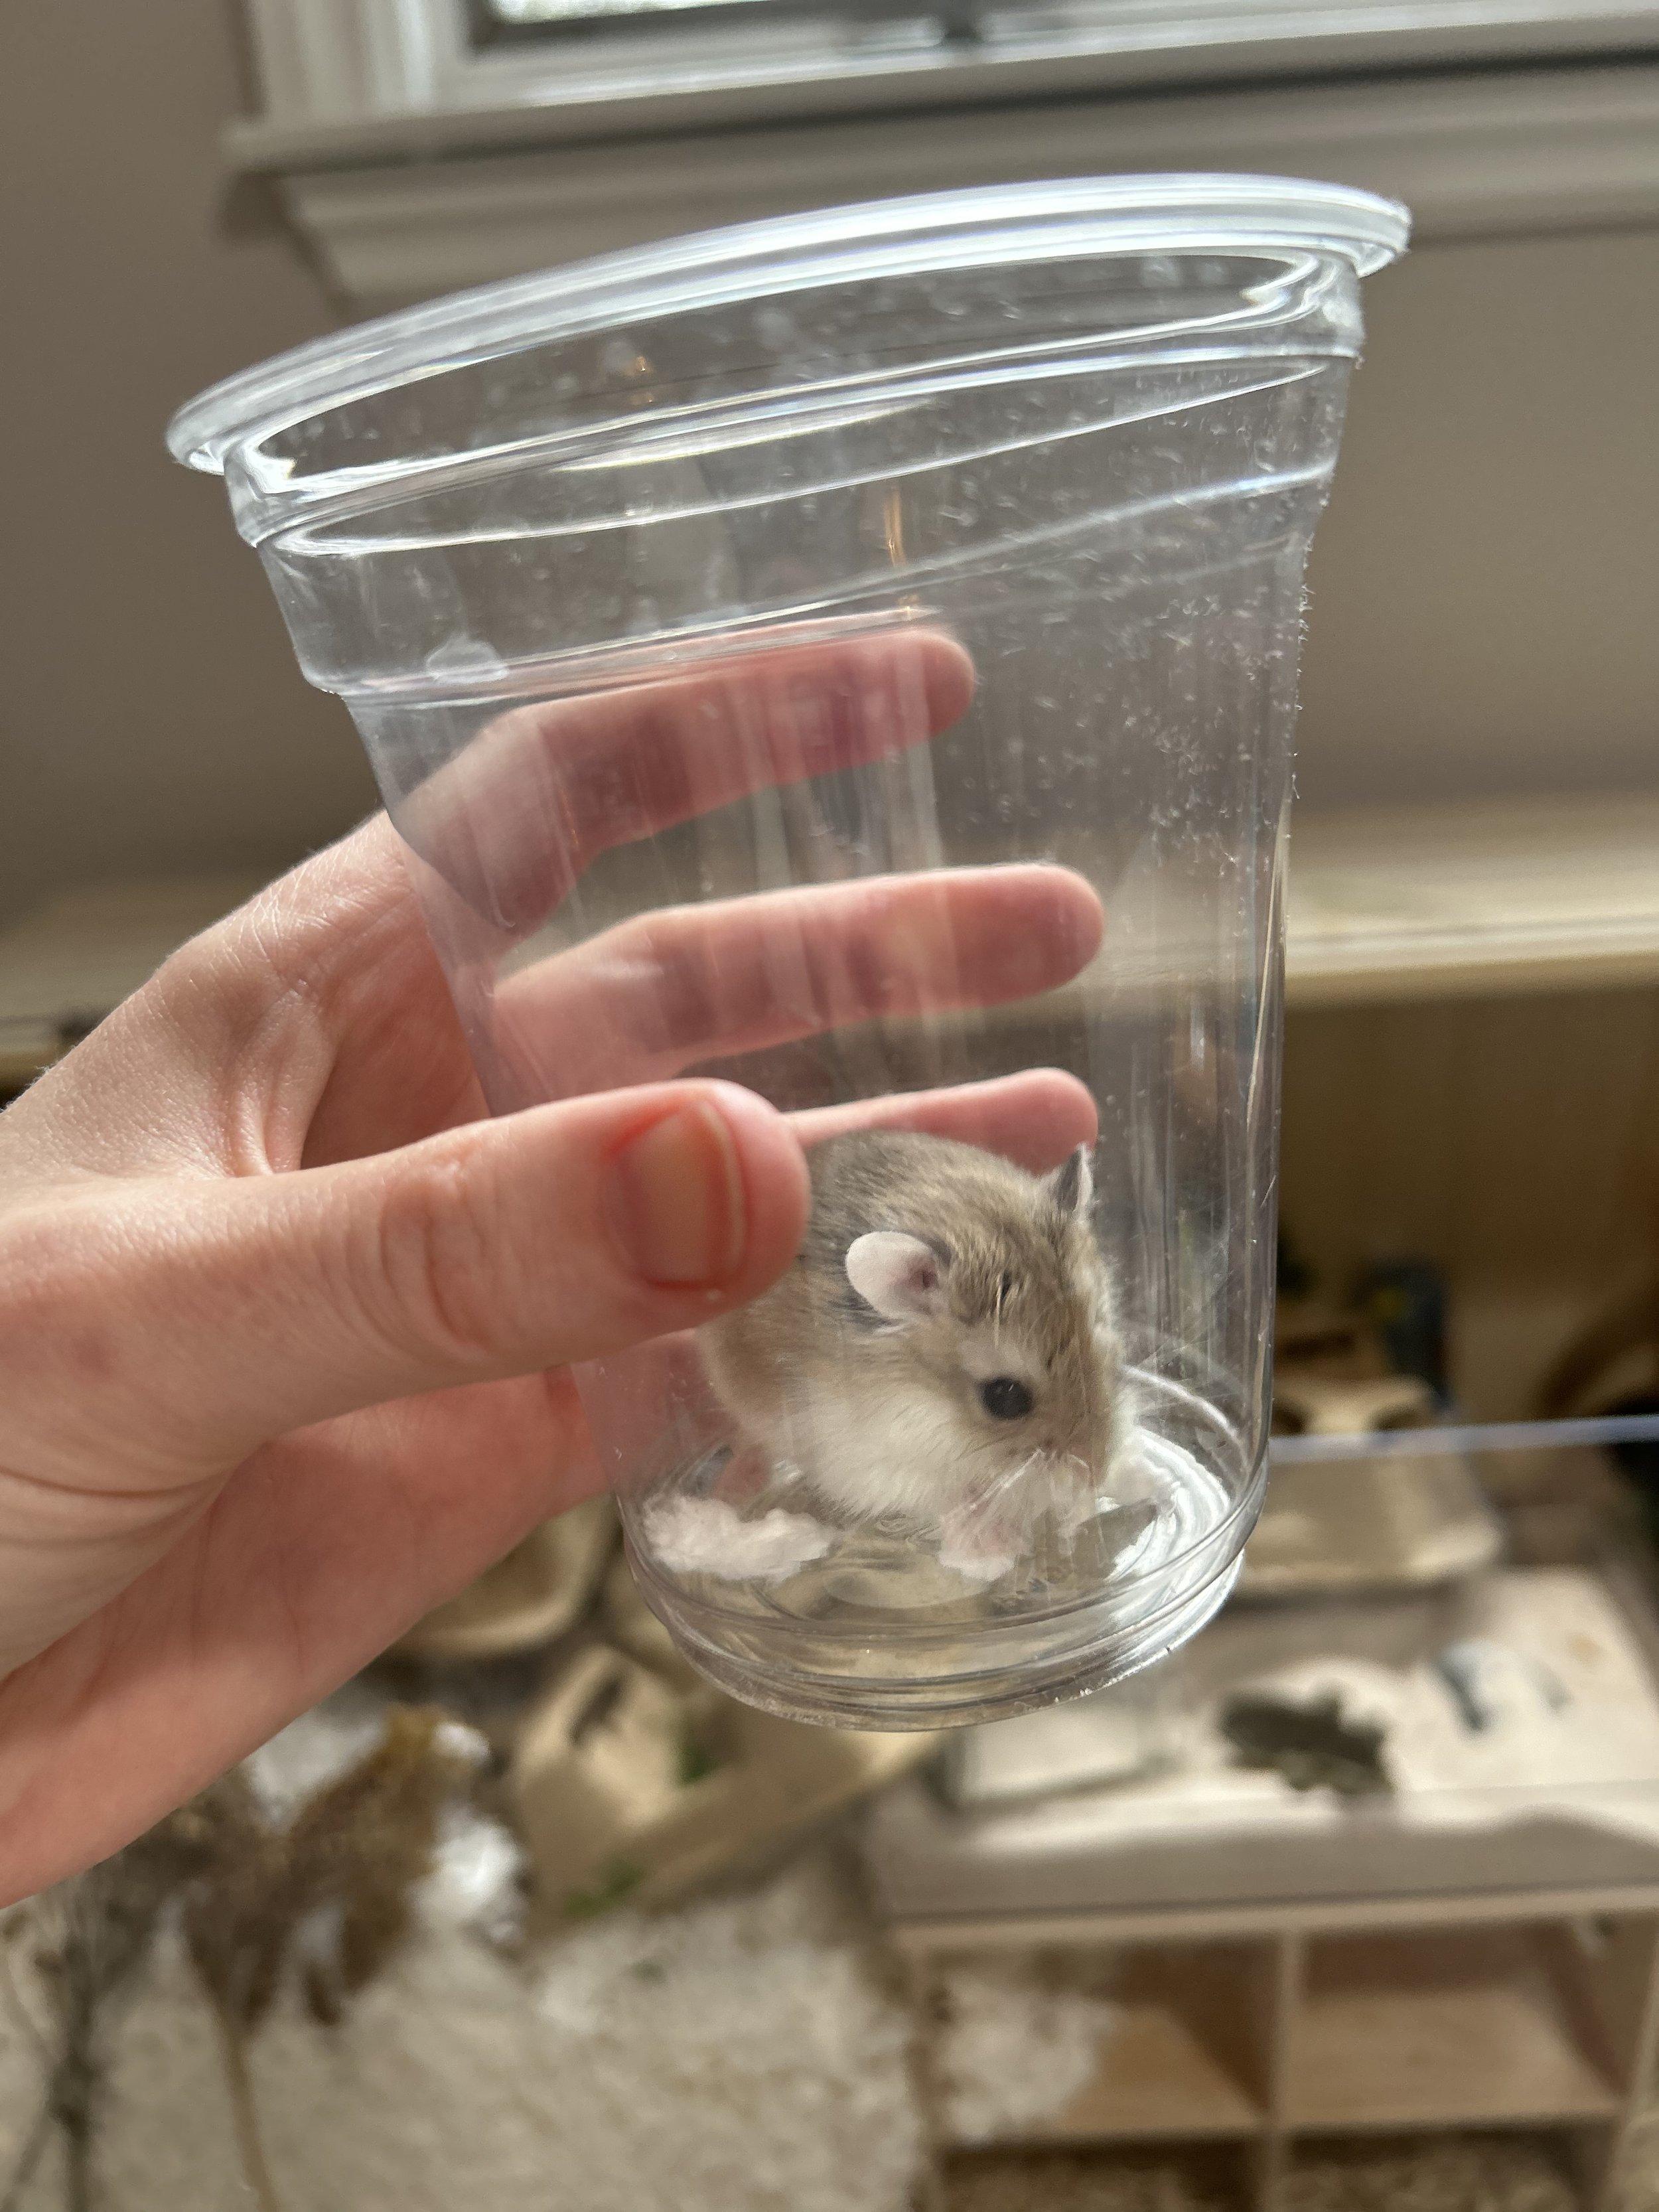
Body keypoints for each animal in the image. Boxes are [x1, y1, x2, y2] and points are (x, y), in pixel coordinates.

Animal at [694, 1132, 1123, 1584]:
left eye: (1109, 1353)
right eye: (1004, 1398)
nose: (1096, 1474)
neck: (928, 1400)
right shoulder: (873, 1462)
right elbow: (945, 1497)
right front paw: (989, 1544)